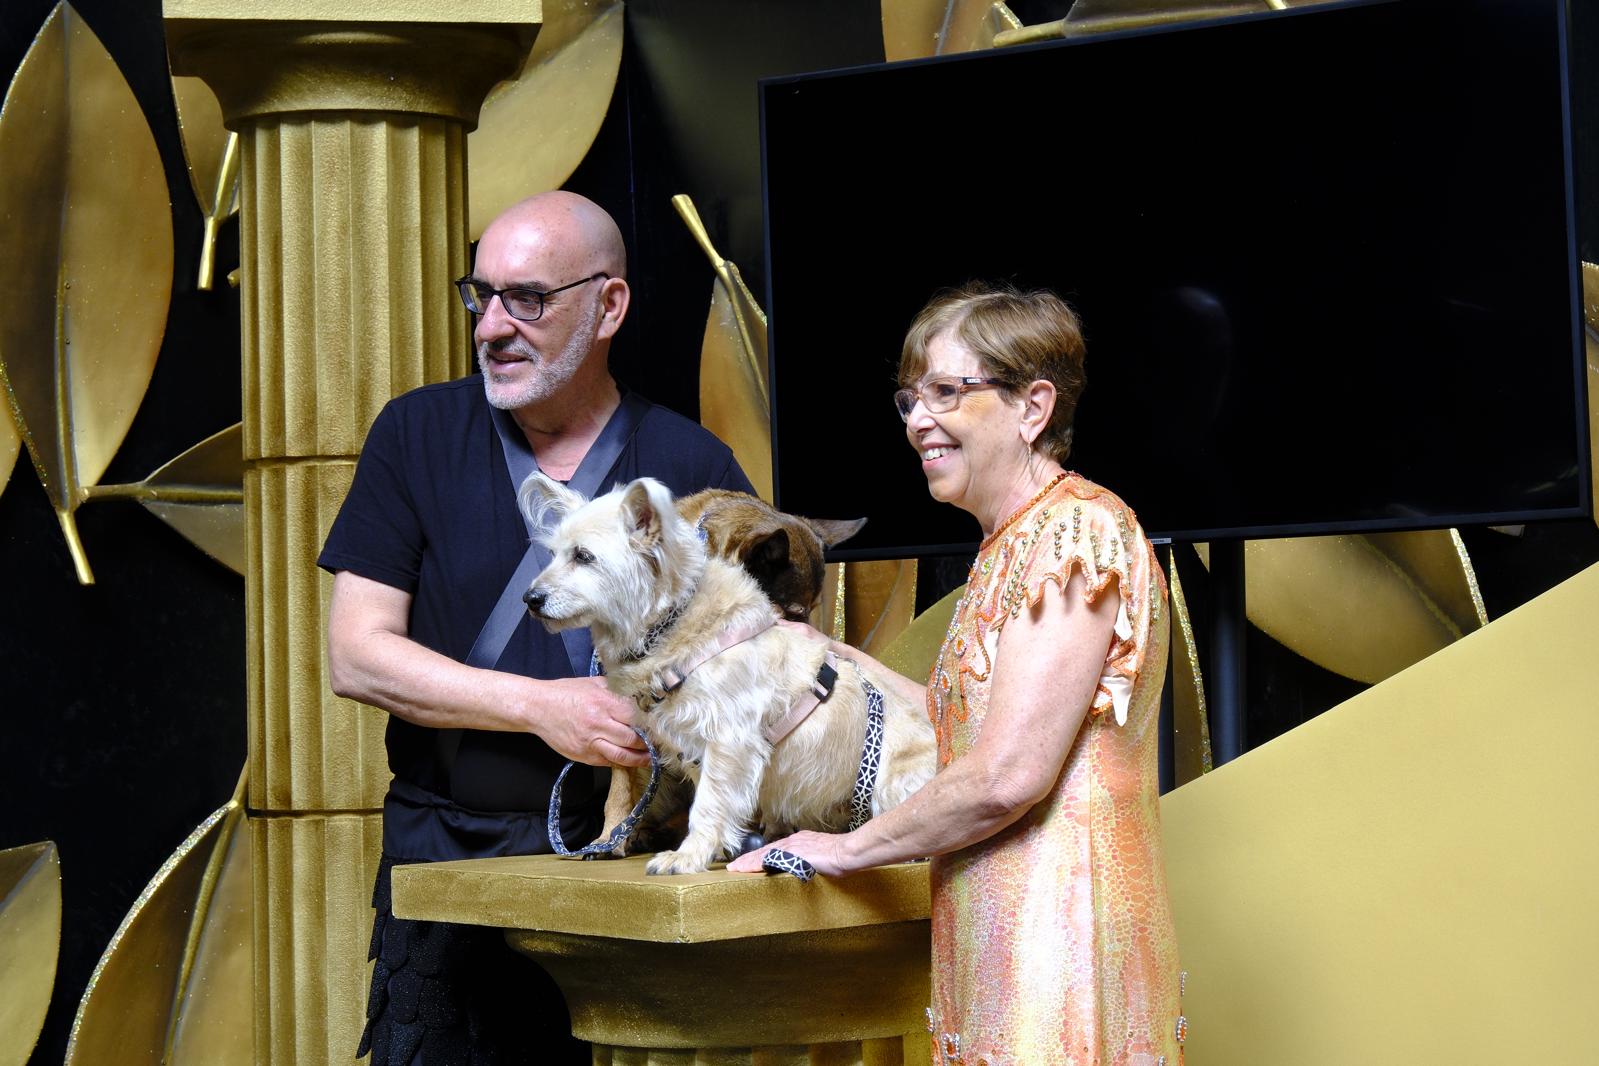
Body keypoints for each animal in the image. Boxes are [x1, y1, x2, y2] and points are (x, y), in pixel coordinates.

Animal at [518, 476, 933, 875]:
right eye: (554, 555)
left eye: (583, 556)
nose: (530, 598)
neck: (674, 624)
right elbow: (632, 790)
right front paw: (618, 838)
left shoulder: (729, 741)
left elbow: (709, 805)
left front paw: (687, 856)